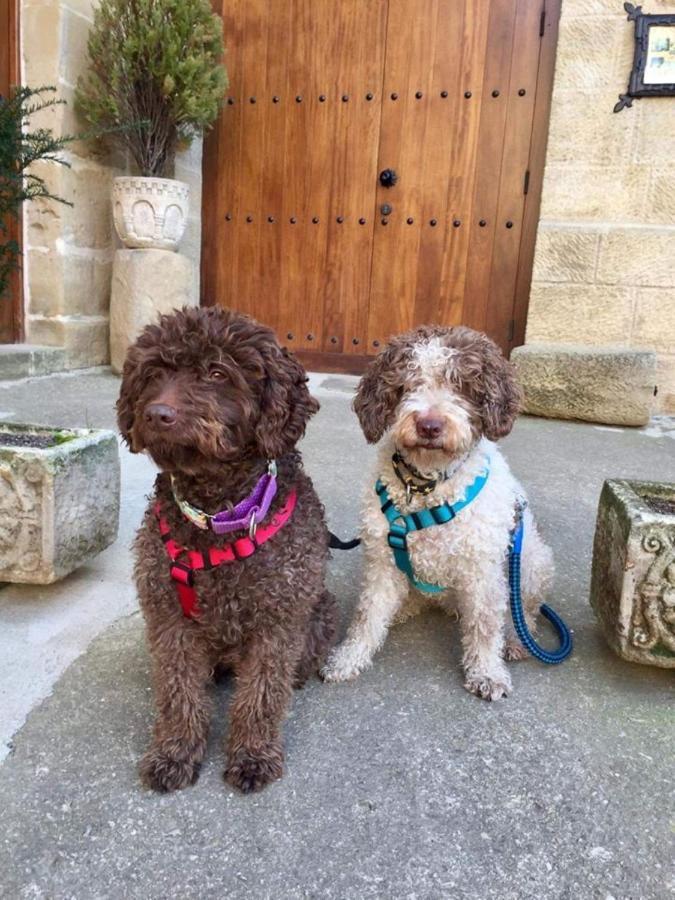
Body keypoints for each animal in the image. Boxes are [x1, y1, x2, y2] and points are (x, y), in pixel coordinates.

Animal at [118, 306, 338, 792]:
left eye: (217, 373)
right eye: (154, 373)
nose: (157, 414)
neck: (217, 514)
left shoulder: (277, 621)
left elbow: (261, 694)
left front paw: (253, 755)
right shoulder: (170, 619)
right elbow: (178, 691)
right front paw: (174, 752)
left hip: (321, 610)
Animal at [324, 326, 556, 704]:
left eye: (462, 384)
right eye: (406, 383)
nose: (429, 425)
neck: (424, 487)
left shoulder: (482, 571)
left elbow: (484, 626)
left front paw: (487, 672)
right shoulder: (382, 561)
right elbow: (367, 614)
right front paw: (348, 658)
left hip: (533, 561)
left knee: (521, 611)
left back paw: (515, 638)